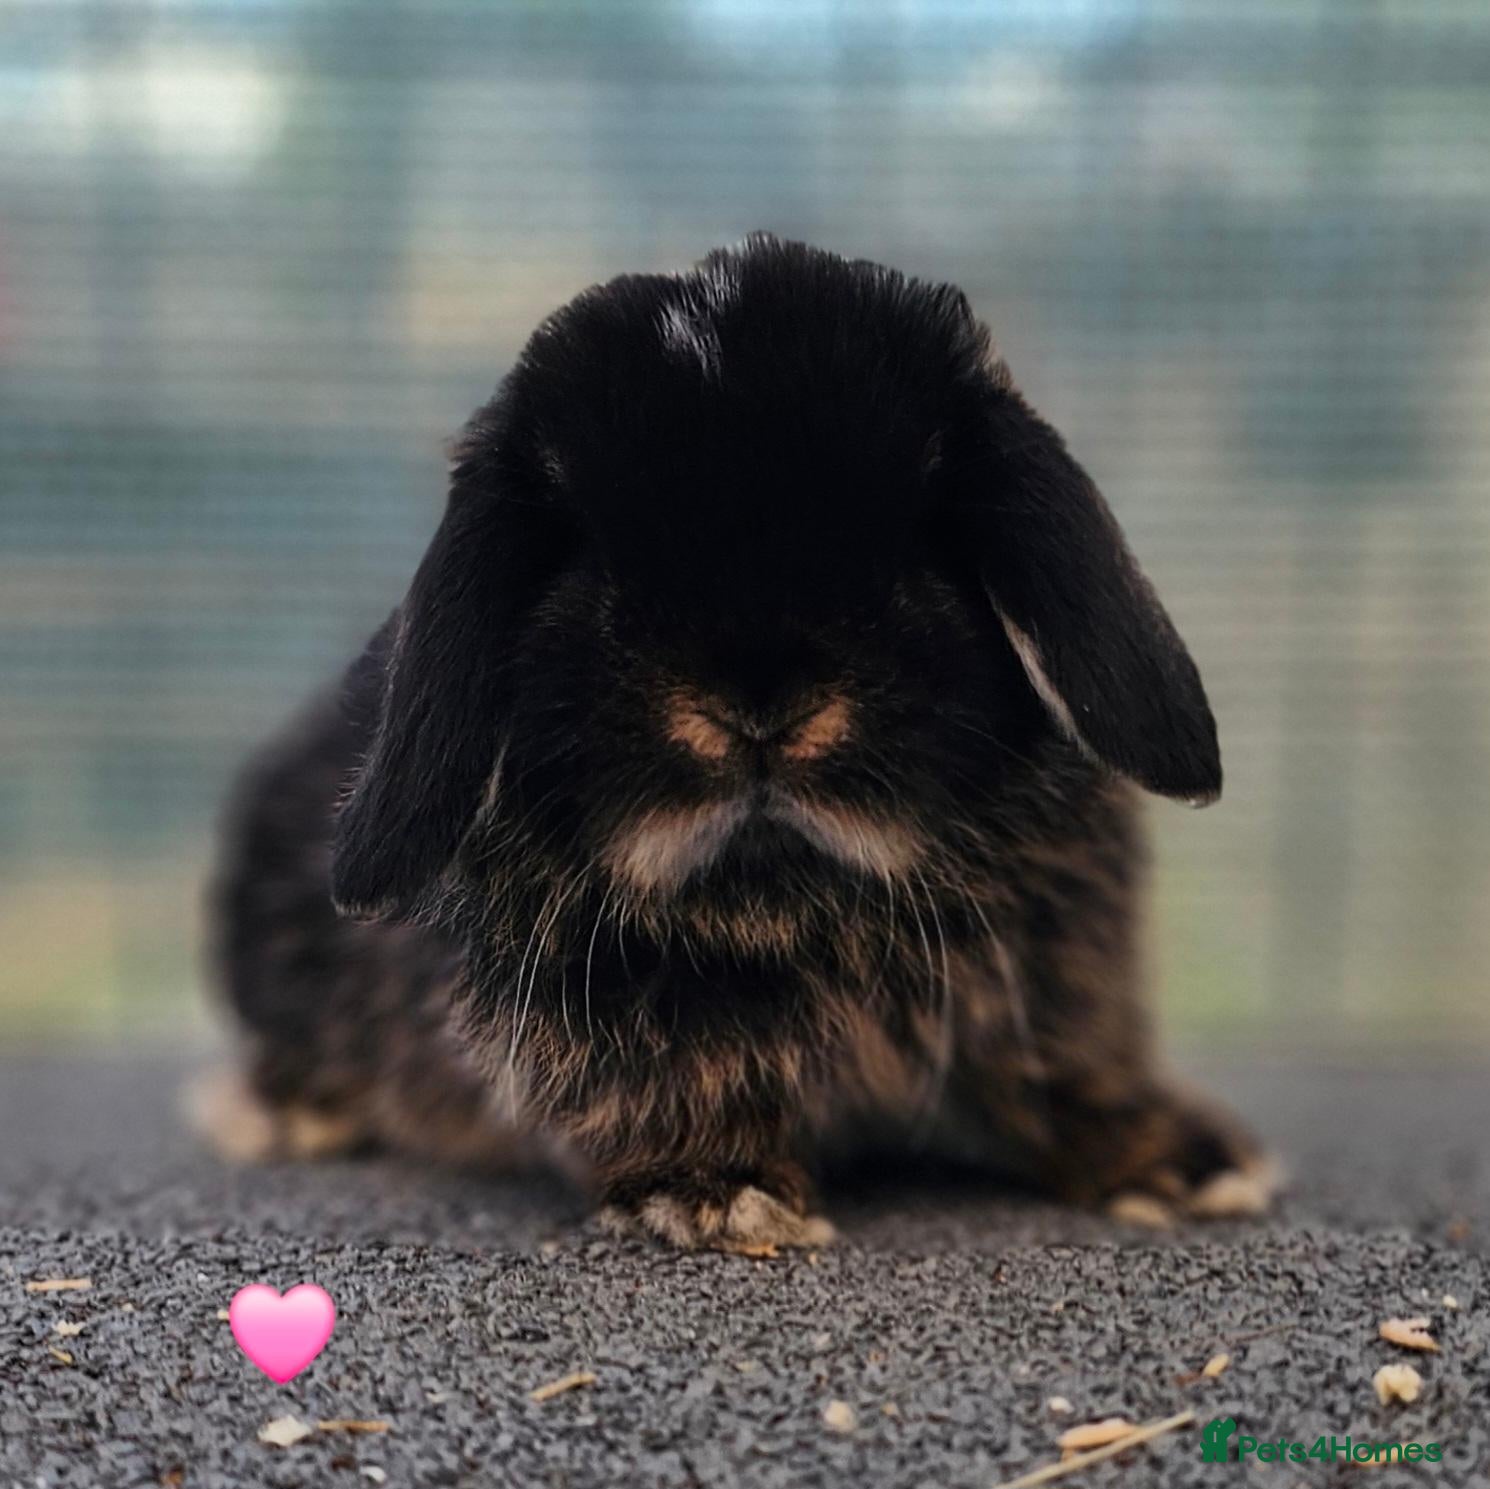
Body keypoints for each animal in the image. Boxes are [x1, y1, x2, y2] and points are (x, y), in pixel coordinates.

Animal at [200, 234, 1274, 1249]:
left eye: (913, 557)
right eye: (596, 576)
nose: (762, 711)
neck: (785, 890)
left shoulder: (1060, 983)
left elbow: (1070, 1068)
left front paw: (1188, 1164)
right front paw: (717, 1193)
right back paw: (286, 1116)